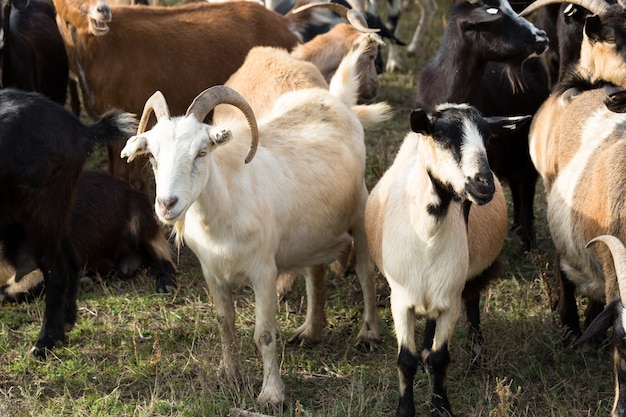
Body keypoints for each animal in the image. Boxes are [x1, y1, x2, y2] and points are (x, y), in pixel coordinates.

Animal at [0, 87, 136, 354]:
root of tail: (80, 131)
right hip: (58, 210)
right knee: (72, 260)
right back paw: (67, 324)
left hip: (42, 212)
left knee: (57, 271)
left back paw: (44, 344)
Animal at [119, 46, 388, 406]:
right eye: (152, 157)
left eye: (201, 152)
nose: (166, 204)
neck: (226, 206)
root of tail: (335, 98)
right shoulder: (212, 272)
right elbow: (225, 322)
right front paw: (228, 374)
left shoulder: (263, 272)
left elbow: (264, 334)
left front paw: (272, 394)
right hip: (311, 228)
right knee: (314, 270)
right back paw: (311, 331)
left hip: (360, 207)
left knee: (364, 269)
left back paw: (368, 333)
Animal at [360, 101, 528, 416]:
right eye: (440, 137)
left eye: (488, 138)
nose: (484, 184)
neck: (428, 238)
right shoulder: (400, 299)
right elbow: (406, 360)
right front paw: (406, 409)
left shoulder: (450, 298)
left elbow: (441, 358)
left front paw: (440, 405)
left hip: (468, 275)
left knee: (472, 303)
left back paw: (477, 357)